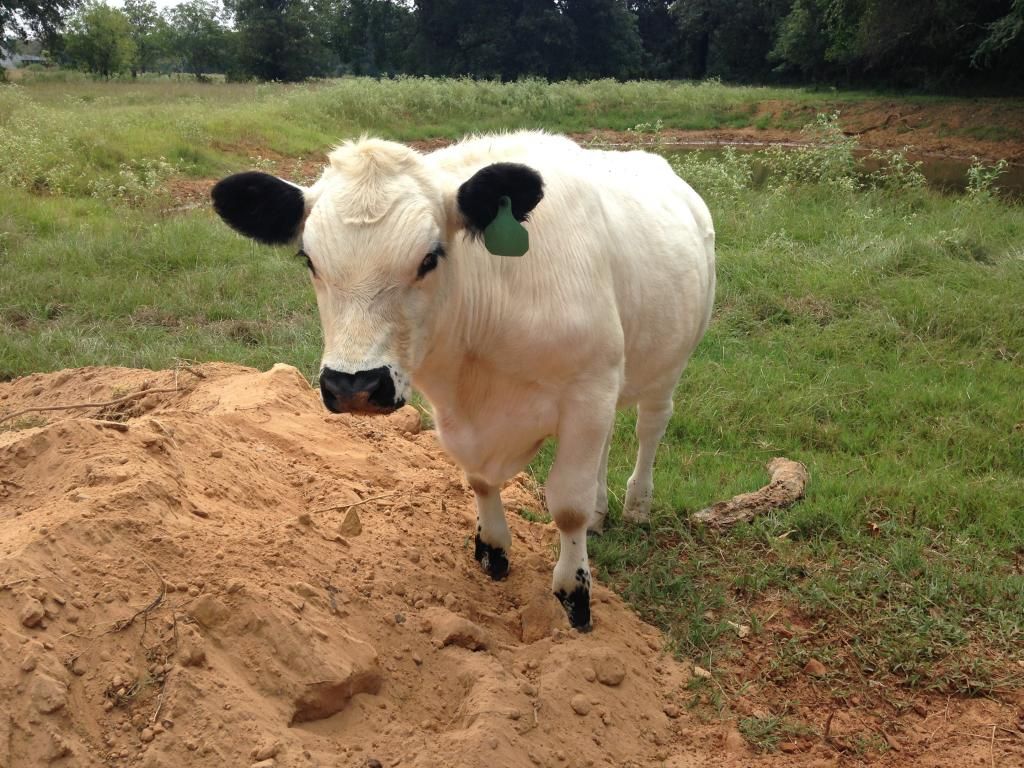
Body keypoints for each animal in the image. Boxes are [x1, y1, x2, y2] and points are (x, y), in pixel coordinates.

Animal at [211, 131, 716, 630]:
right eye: (309, 260)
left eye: (429, 258)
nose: (353, 387)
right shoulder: (465, 414)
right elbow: (479, 480)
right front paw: (493, 548)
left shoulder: (587, 392)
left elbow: (566, 506)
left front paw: (574, 594)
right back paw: (600, 510)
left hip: (670, 364)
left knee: (651, 426)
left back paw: (637, 504)